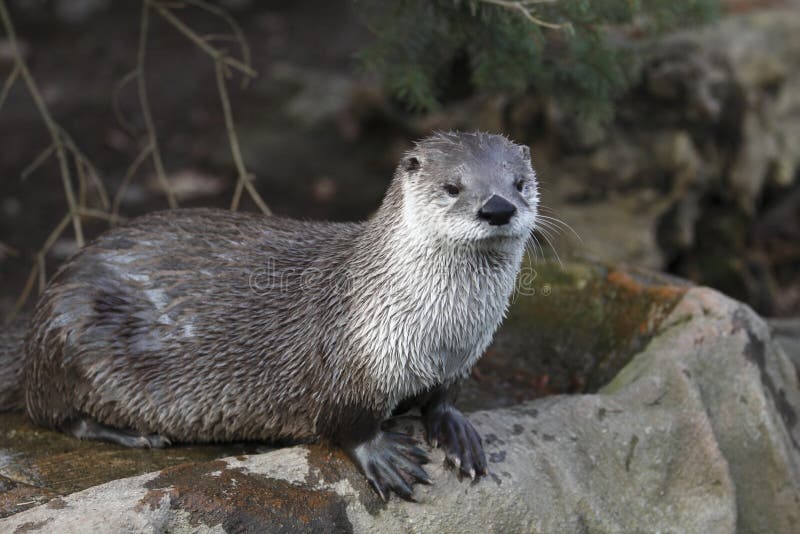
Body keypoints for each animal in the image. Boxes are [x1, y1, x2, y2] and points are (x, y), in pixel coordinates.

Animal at [1, 131, 536, 502]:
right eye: (452, 187)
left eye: (519, 183)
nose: (497, 207)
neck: (440, 335)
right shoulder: (352, 358)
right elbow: (347, 423)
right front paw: (383, 455)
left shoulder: (462, 358)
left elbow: (443, 399)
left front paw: (455, 430)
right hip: (70, 330)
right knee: (52, 412)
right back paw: (137, 435)